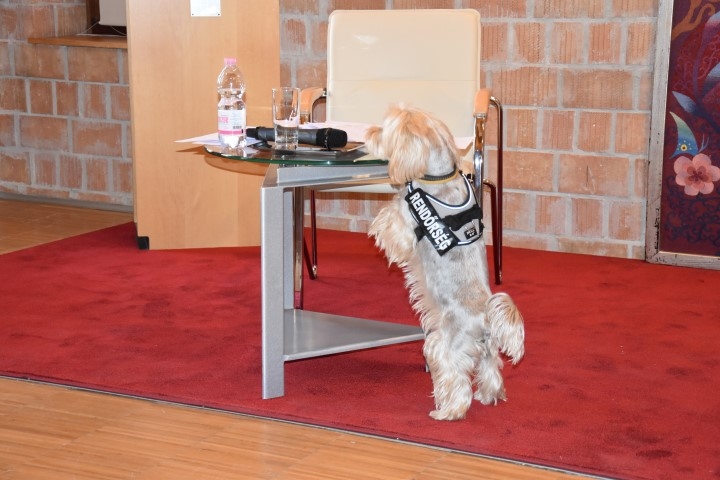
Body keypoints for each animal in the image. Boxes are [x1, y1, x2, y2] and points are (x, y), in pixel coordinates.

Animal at [367, 105, 525, 421]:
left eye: (385, 129)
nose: (369, 132)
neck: (438, 178)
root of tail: (485, 317)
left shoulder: (403, 224)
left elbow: (392, 223)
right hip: (487, 350)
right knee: (491, 371)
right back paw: (490, 396)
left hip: (444, 346)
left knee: (457, 382)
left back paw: (447, 412)